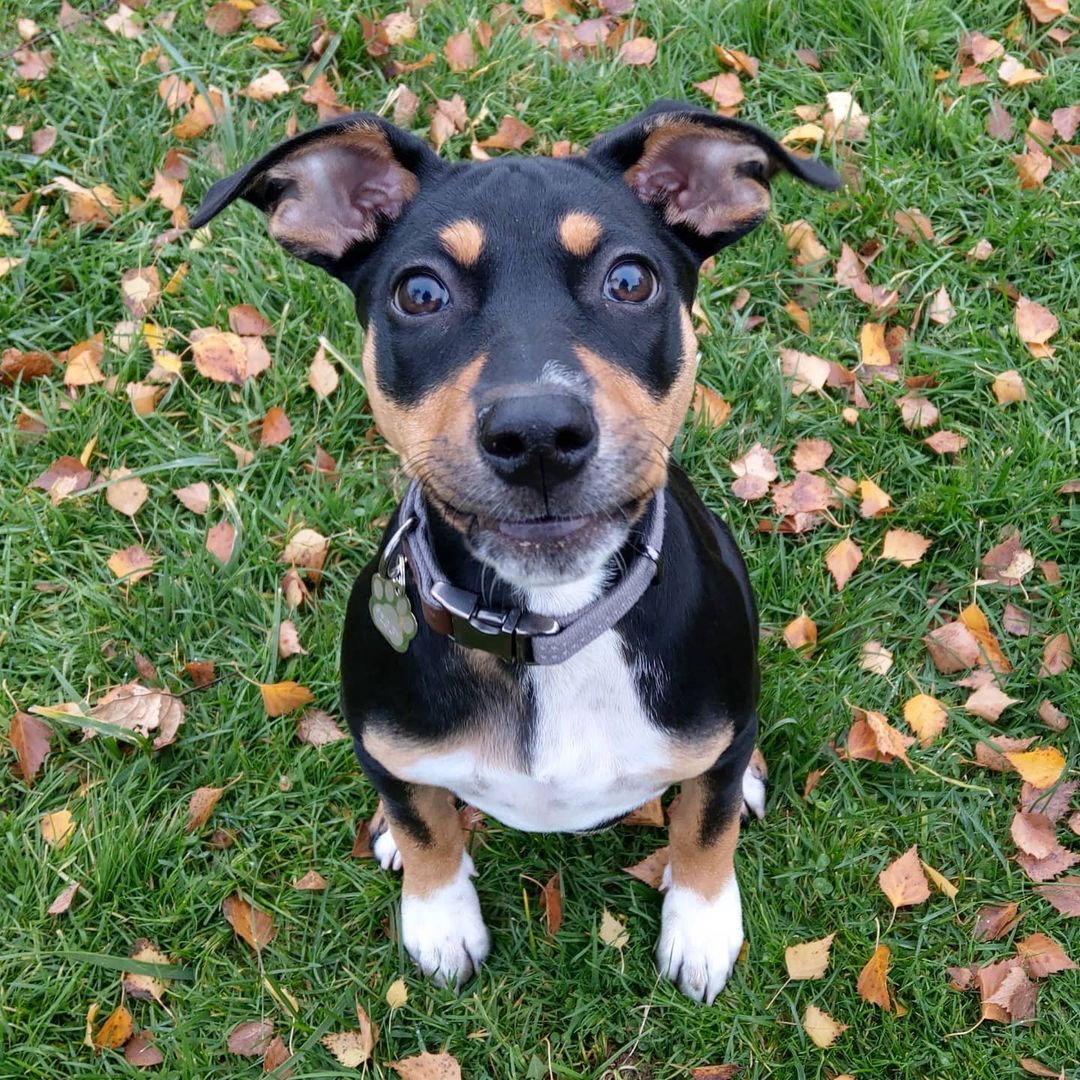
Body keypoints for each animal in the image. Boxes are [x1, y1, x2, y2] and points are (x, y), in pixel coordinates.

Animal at [190, 101, 838, 1002]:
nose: (537, 435)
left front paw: (703, 928)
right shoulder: (388, 742)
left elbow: (703, 829)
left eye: (631, 280)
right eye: (420, 292)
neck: (550, 624)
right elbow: (425, 824)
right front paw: (439, 918)